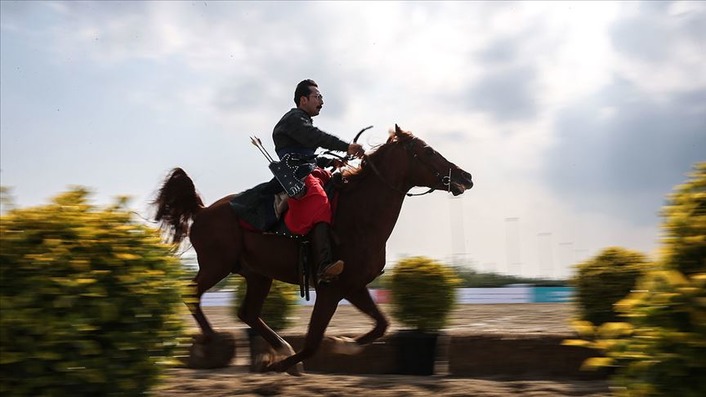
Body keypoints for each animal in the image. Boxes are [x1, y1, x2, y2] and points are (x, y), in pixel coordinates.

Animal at [154, 124, 472, 374]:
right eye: (427, 151)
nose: (465, 176)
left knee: (247, 313)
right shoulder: (330, 289)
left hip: (258, 275)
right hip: (216, 265)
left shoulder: (354, 286)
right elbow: (313, 342)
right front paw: (282, 365)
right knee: (191, 293)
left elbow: (381, 324)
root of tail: (202, 210)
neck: (359, 215)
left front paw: (345, 345)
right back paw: (210, 341)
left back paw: (280, 347)